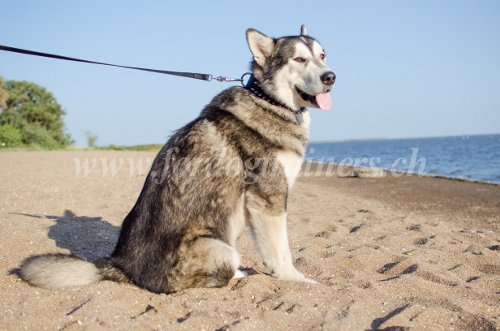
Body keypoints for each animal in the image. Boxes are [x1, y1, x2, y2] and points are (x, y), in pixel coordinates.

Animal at [19, 26, 334, 296]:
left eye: (322, 56)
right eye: (299, 59)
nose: (330, 77)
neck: (269, 101)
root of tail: (122, 265)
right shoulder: (269, 199)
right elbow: (282, 252)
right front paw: (295, 279)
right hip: (222, 248)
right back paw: (239, 274)